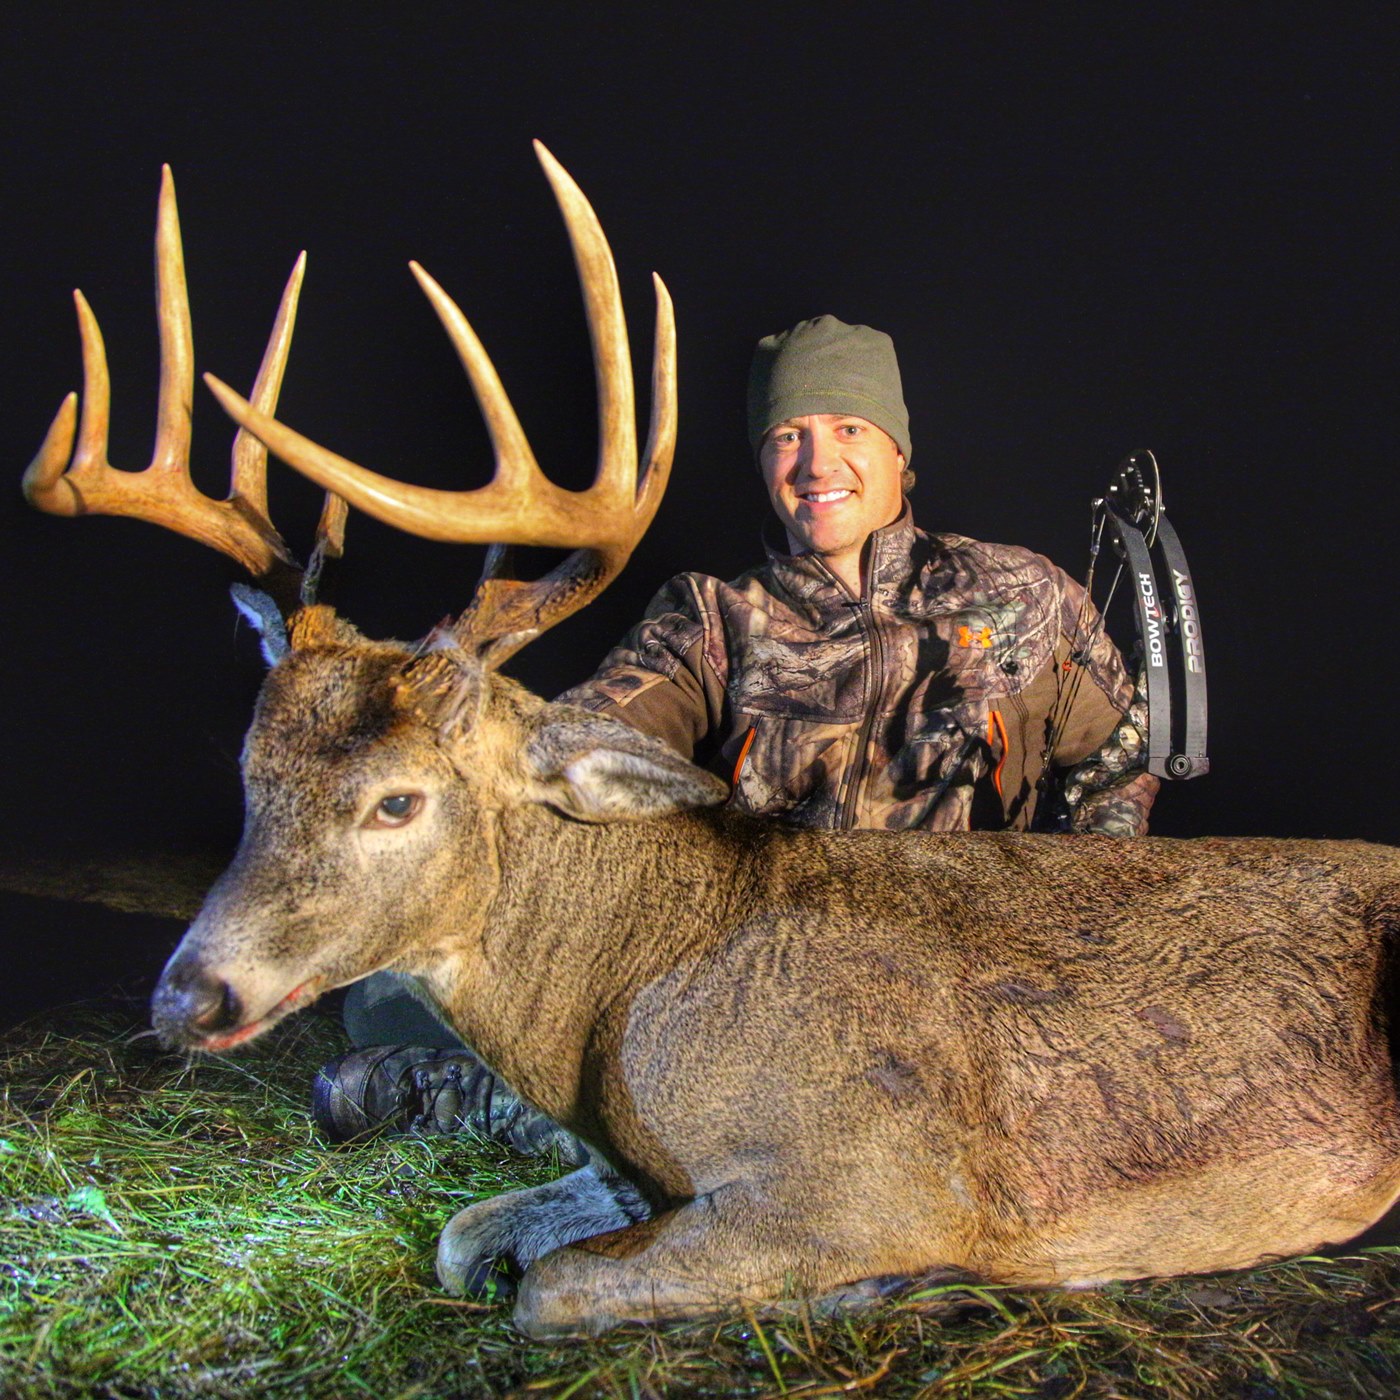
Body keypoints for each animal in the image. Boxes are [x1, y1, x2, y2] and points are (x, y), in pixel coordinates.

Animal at [23, 145, 1400, 1340]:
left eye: (397, 800)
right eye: (248, 774)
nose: (188, 993)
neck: (620, 987)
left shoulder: (878, 1174)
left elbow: (545, 1288)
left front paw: (892, 1285)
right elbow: (468, 1238)